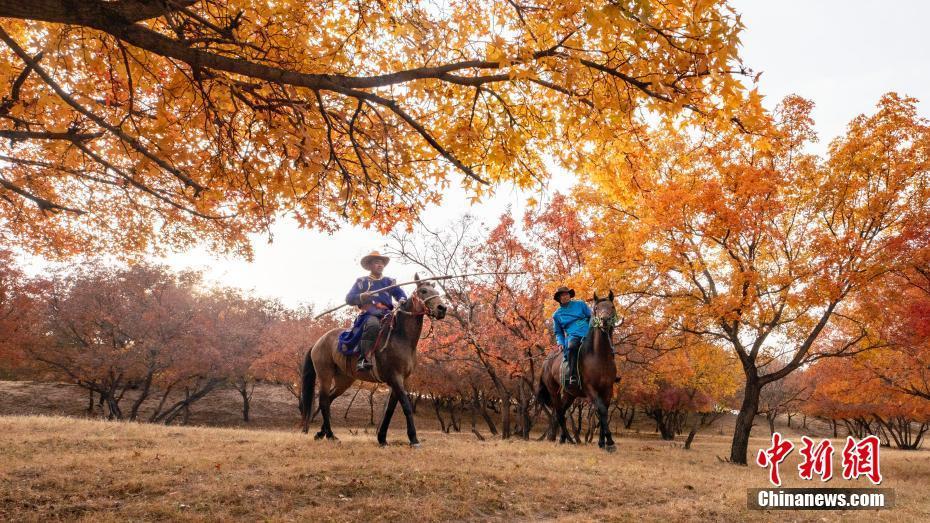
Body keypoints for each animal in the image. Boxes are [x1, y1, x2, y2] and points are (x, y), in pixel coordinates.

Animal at [298, 274, 442, 446]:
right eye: (423, 291)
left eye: (436, 291)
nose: (442, 309)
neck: (401, 337)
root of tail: (318, 342)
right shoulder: (395, 378)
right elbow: (406, 406)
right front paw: (413, 439)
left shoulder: (402, 380)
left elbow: (390, 410)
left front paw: (382, 438)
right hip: (325, 374)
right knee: (324, 401)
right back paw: (331, 435)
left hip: (344, 380)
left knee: (330, 398)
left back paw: (322, 433)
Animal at [536, 292, 616, 452]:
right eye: (596, 308)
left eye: (612, 306)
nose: (604, 321)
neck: (599, 356)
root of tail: (547, 361)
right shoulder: (591, 390)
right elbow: (602, 411)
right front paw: (610, 442)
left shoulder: (607, 390)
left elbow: (602, 412)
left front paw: (602, 443)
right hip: (554, 392)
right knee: (559, 413)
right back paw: (569, 439)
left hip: (570, 394)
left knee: (562, 412)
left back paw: (563, 439)